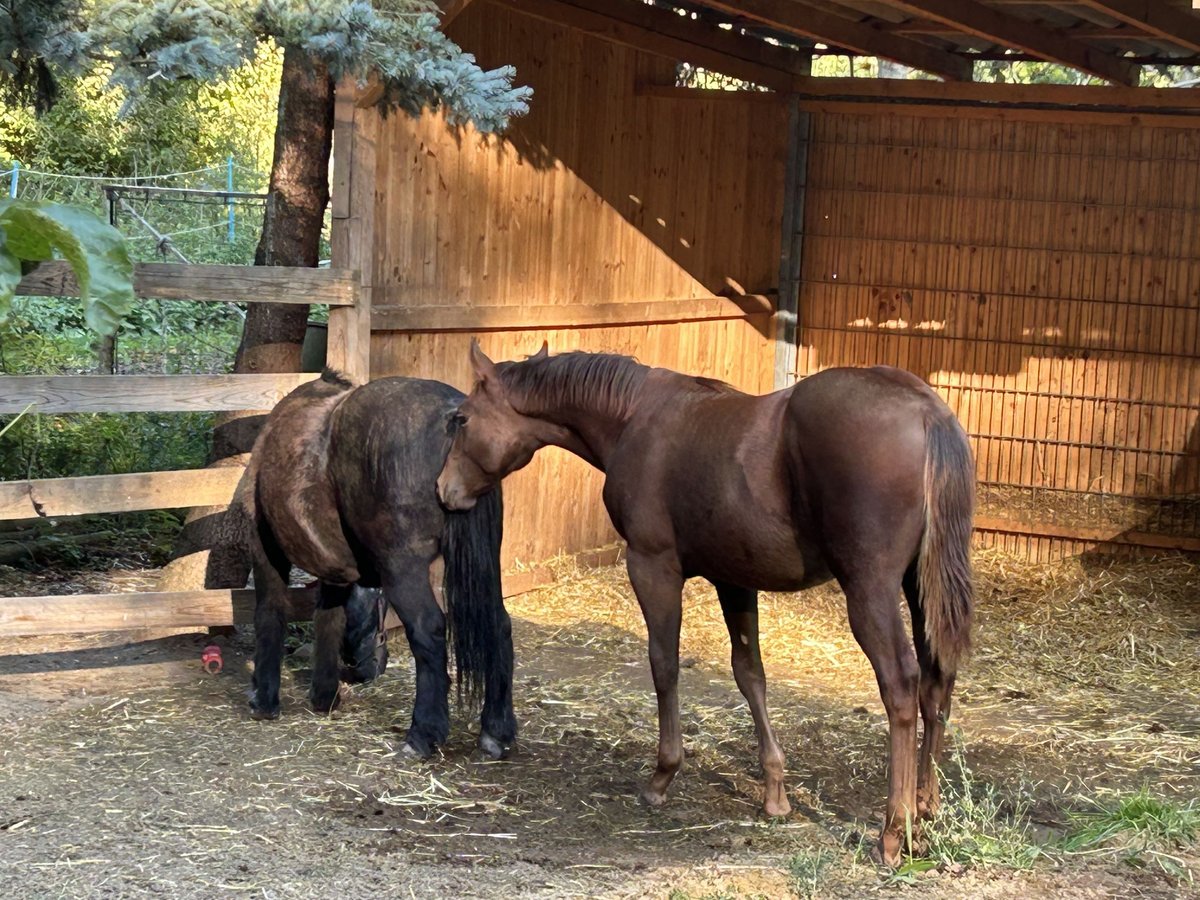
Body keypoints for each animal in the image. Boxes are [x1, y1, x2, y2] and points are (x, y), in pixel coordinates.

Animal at [243, 370, 517, 760]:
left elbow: (270, 614)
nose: (371, 665)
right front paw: (324, 697)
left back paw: (422, 736)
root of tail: (453, 417)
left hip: (403, 570)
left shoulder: (265, 550)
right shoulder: (336, 571)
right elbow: (328, 620)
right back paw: (497, 731)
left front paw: (264, 699)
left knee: (428, 630)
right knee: (499, 624)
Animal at [436, 342, 974, 866]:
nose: (443, 490)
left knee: (901, 687)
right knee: (936, 684)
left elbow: (665, 665)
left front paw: (662, 776)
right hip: (920, 588)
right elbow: (750, 674)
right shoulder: (733, 580)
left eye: (461, 419)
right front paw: (775, 793)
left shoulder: (652, 567)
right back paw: (924, 813)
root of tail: (926, 410)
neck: (634, 416)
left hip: (870, 590)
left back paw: (894, 833)